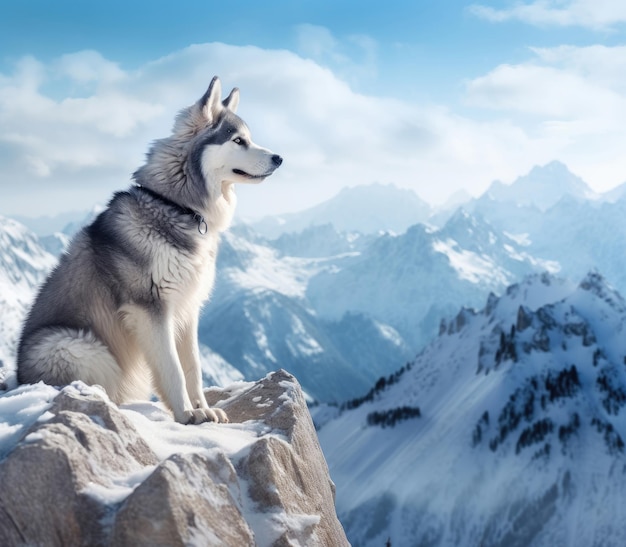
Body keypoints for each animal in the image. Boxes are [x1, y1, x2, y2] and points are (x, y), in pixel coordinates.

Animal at [17, 77, 282, 426]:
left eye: (248, 138)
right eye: (239, 140)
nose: (279, 158)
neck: (177, 207)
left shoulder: (187, 309)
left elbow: (193, 367)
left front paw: (203, 409)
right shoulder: (150, 308)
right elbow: (172, 368)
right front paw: (186, 414)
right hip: (74, 345)